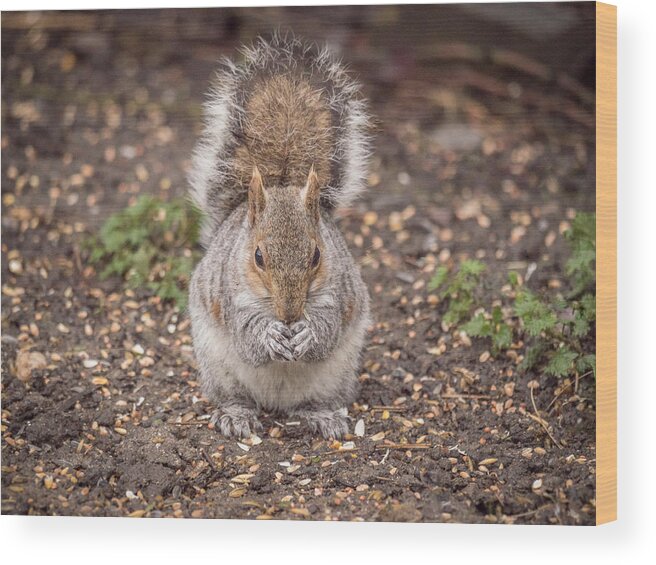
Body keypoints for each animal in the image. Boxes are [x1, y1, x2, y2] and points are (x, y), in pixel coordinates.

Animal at [187, 35, 372, 438]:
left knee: (315, 402)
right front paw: (270, 335)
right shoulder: (231, 296)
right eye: (258, 257)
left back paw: (324, 416)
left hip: (335, 377)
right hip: (218, 368)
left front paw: (308, 334)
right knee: (235, 397)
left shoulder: (339, 293)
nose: (289, 315)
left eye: (317, 256)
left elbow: (329, 327)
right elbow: (246, 333)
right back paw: (236, 415)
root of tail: (278, 403)